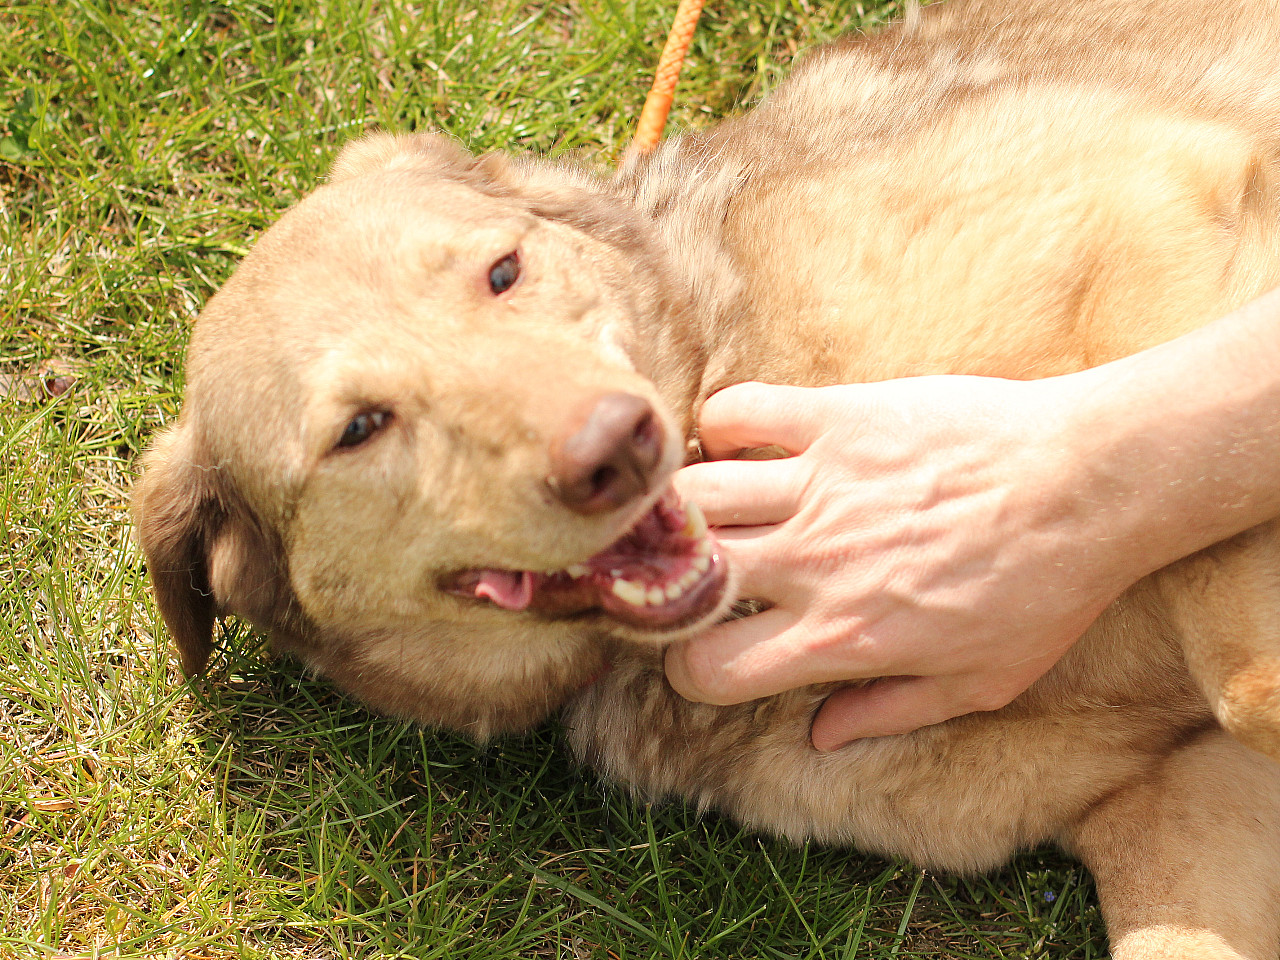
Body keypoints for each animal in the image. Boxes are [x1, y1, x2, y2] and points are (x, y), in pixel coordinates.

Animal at [133, 0, 1280, 955]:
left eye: (502, 272)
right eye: (360, 428)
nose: (617, 445)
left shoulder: (1157, 203)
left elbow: (1235, 659)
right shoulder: (1172, 796)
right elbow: (1236, 693)